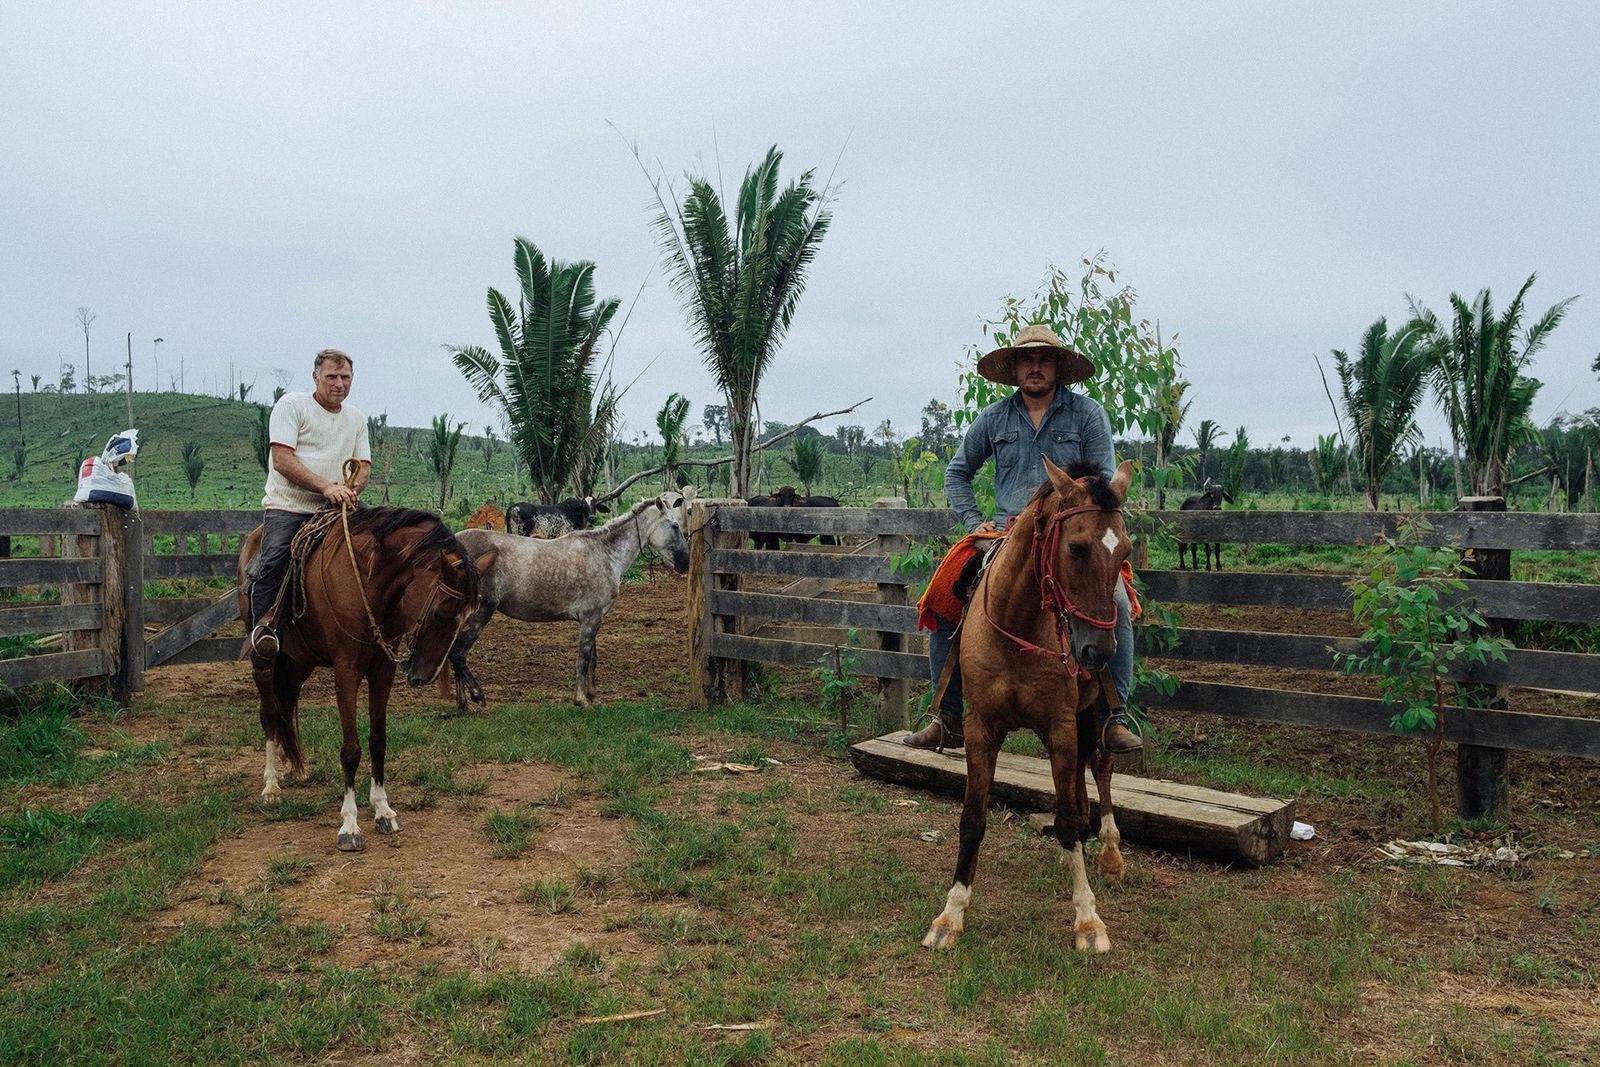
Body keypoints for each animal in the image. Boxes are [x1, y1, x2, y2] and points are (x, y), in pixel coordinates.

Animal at [236, 508, 492, 851]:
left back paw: (294, 766)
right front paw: (350, 825)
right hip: (265, 656)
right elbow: (351, 749)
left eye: (466, 618)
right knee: (269, 713)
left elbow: (378, 741)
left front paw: (383, 810)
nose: (424, 676)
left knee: (287, 702)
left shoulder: (382, 671)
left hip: (300, 659)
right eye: (440, 612)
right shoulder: (346, 672)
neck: (368, 585)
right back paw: (271, 785)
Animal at [441, 495, 691, 713]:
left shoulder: (594, 618)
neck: (605, 554)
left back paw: (463, 704)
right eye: (675, 526)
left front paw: (592, 696)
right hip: (481, 612)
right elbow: (583, 658)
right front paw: (582, 700)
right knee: (458, 654)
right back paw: (477, 696)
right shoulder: (590, 619)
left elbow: (592, 660)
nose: (685, 564)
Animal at [921, 454, 1132, 953]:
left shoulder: (1060, 726)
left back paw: (1109, 854)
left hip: (1092, 715)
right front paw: (951, 914)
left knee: (1100, 768)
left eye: (1125, 552)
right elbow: (973, 819)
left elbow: (1071, 819)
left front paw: (1088, 920)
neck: (1016, 624)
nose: (1098, 652)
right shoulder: (981, 728)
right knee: (1078, 788)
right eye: (1076, 548)